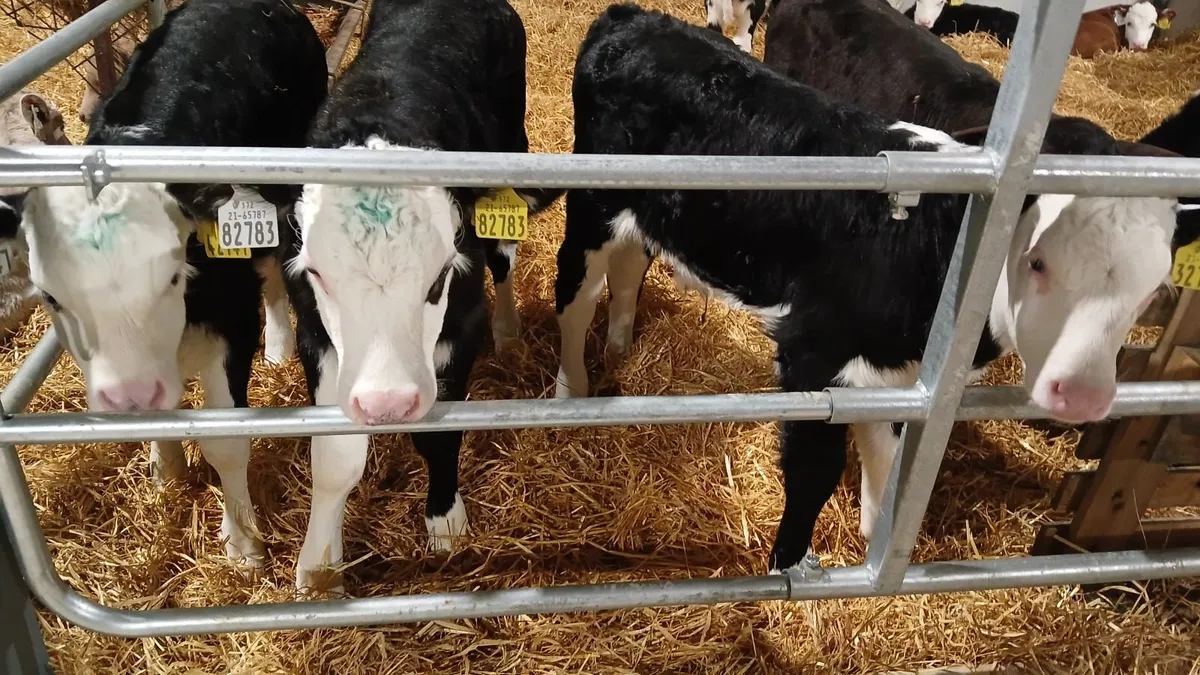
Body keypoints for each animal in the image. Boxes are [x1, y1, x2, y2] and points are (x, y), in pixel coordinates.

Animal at [283, 0, 561, 595]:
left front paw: (445, 520)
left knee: (504, 258)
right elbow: (335, 455)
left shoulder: (462, 325)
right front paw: (319, 567)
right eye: (318, 275)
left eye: (439, 278)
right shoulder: (313, 333)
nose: (386, 404)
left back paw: (509, 331)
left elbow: (440, 435)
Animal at [558, 3, 1178, 573]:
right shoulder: (811, 350)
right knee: (575, 293)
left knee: (629, 268)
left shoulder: (904, 376)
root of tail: (635, 16)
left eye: (1149, 285)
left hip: (650, 214)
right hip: (592, 202)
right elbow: (815, 471)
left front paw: (874, 550)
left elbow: (890, 456)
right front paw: (789, 565)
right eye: (1039, 258)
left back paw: (619, 347)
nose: (1084, 393)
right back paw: (572, 392)